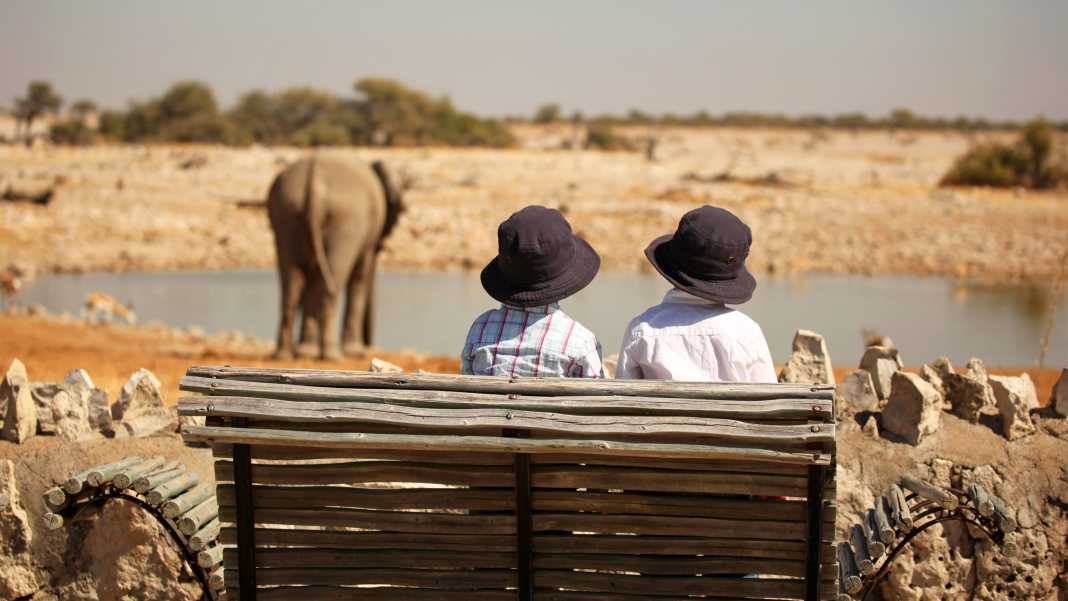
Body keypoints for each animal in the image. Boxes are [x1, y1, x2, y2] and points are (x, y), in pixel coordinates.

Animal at [267, 157, 403, 360]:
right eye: (400, 210)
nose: (368, 346)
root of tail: (315, 183)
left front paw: (306, 350)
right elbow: (360, 278)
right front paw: (355, 352)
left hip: (286, 212)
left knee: (292, 286)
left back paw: (286, 354)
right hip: (345, 222)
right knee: (329, 286)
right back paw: (331, 354)